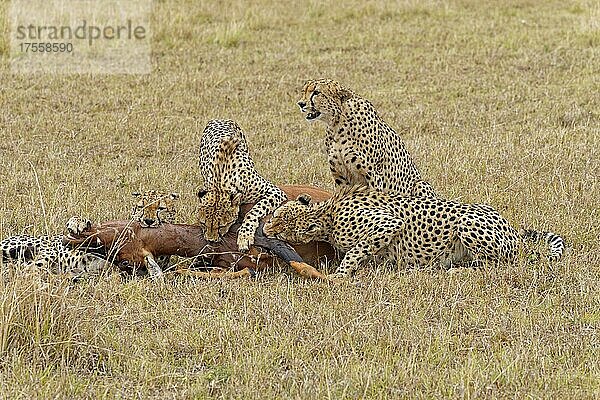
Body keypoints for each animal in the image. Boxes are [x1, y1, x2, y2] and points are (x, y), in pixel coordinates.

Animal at [198, 117, 288, 252]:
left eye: (221, 226)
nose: (211, 240)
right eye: (203, 223)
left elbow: (254, 211)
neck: (221, 182)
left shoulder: (275, 191)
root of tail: (221, 118)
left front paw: (245, 236)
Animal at [264, 186, 564, 280]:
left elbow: (356, 251)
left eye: (280, 225)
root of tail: (511, 229)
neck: (327, 214)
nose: (266, 227)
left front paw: (340, 275)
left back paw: (453, 269)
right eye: (277, 216)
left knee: (496, 265)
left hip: (465, 222)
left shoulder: (388, 223)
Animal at [296, 79, 434, 198]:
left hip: (420, 184)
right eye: (304, 91)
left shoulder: (373, 175)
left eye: (316, 92)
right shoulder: (341, 177)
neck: (337, 123)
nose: (301, 104)